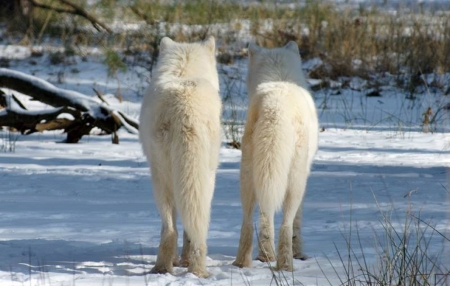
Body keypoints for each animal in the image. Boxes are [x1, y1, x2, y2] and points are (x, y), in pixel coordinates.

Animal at [138, 35, 221, 278]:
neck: (184, 69)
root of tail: (185, 109)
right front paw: (182, 261)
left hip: (162, 178)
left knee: (170, 229)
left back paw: (164, 268)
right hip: (202, 178)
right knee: (194, 226)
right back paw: (195, 270)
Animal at [234, 42, 318, 270]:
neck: (278, 73)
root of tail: (275, 106)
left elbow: (265, 216)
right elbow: (296, 222)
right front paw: (298, 253)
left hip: (248, 176)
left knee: (249, 220)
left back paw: (247, 261)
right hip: (295, 181)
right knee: (286, 224)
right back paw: (286, 265)